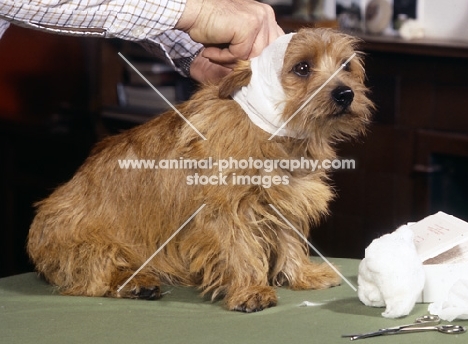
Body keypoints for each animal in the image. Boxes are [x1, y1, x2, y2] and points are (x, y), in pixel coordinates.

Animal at [28, 29, 372, 314]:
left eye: (346, 66)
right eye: (302, 67)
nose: (345, 94)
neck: (272, 131)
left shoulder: (286, 198)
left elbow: (289, 239)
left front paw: (302, 274)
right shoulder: (224, 208)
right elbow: (239, 248)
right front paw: (250, 290)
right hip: (93, 243)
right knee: (92, 273)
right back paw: (135, 282)